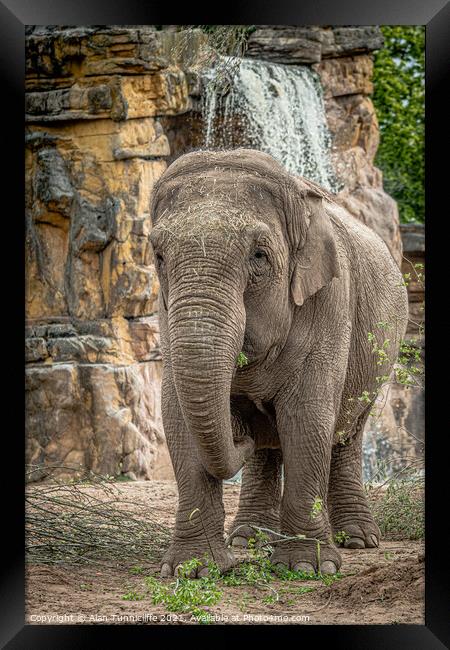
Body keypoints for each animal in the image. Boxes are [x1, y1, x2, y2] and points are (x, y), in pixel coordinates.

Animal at [149, 148, 410, 576]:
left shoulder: (330, 300)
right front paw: (193, 570)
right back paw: (248, 539)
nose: (239, 432)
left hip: (379, 357)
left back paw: (357, 539)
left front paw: (305, 568)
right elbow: (178, 417)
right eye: (158, 255)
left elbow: (307, 415)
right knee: (269, 447)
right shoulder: (165, 311)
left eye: (259, 255)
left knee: (347, 433)